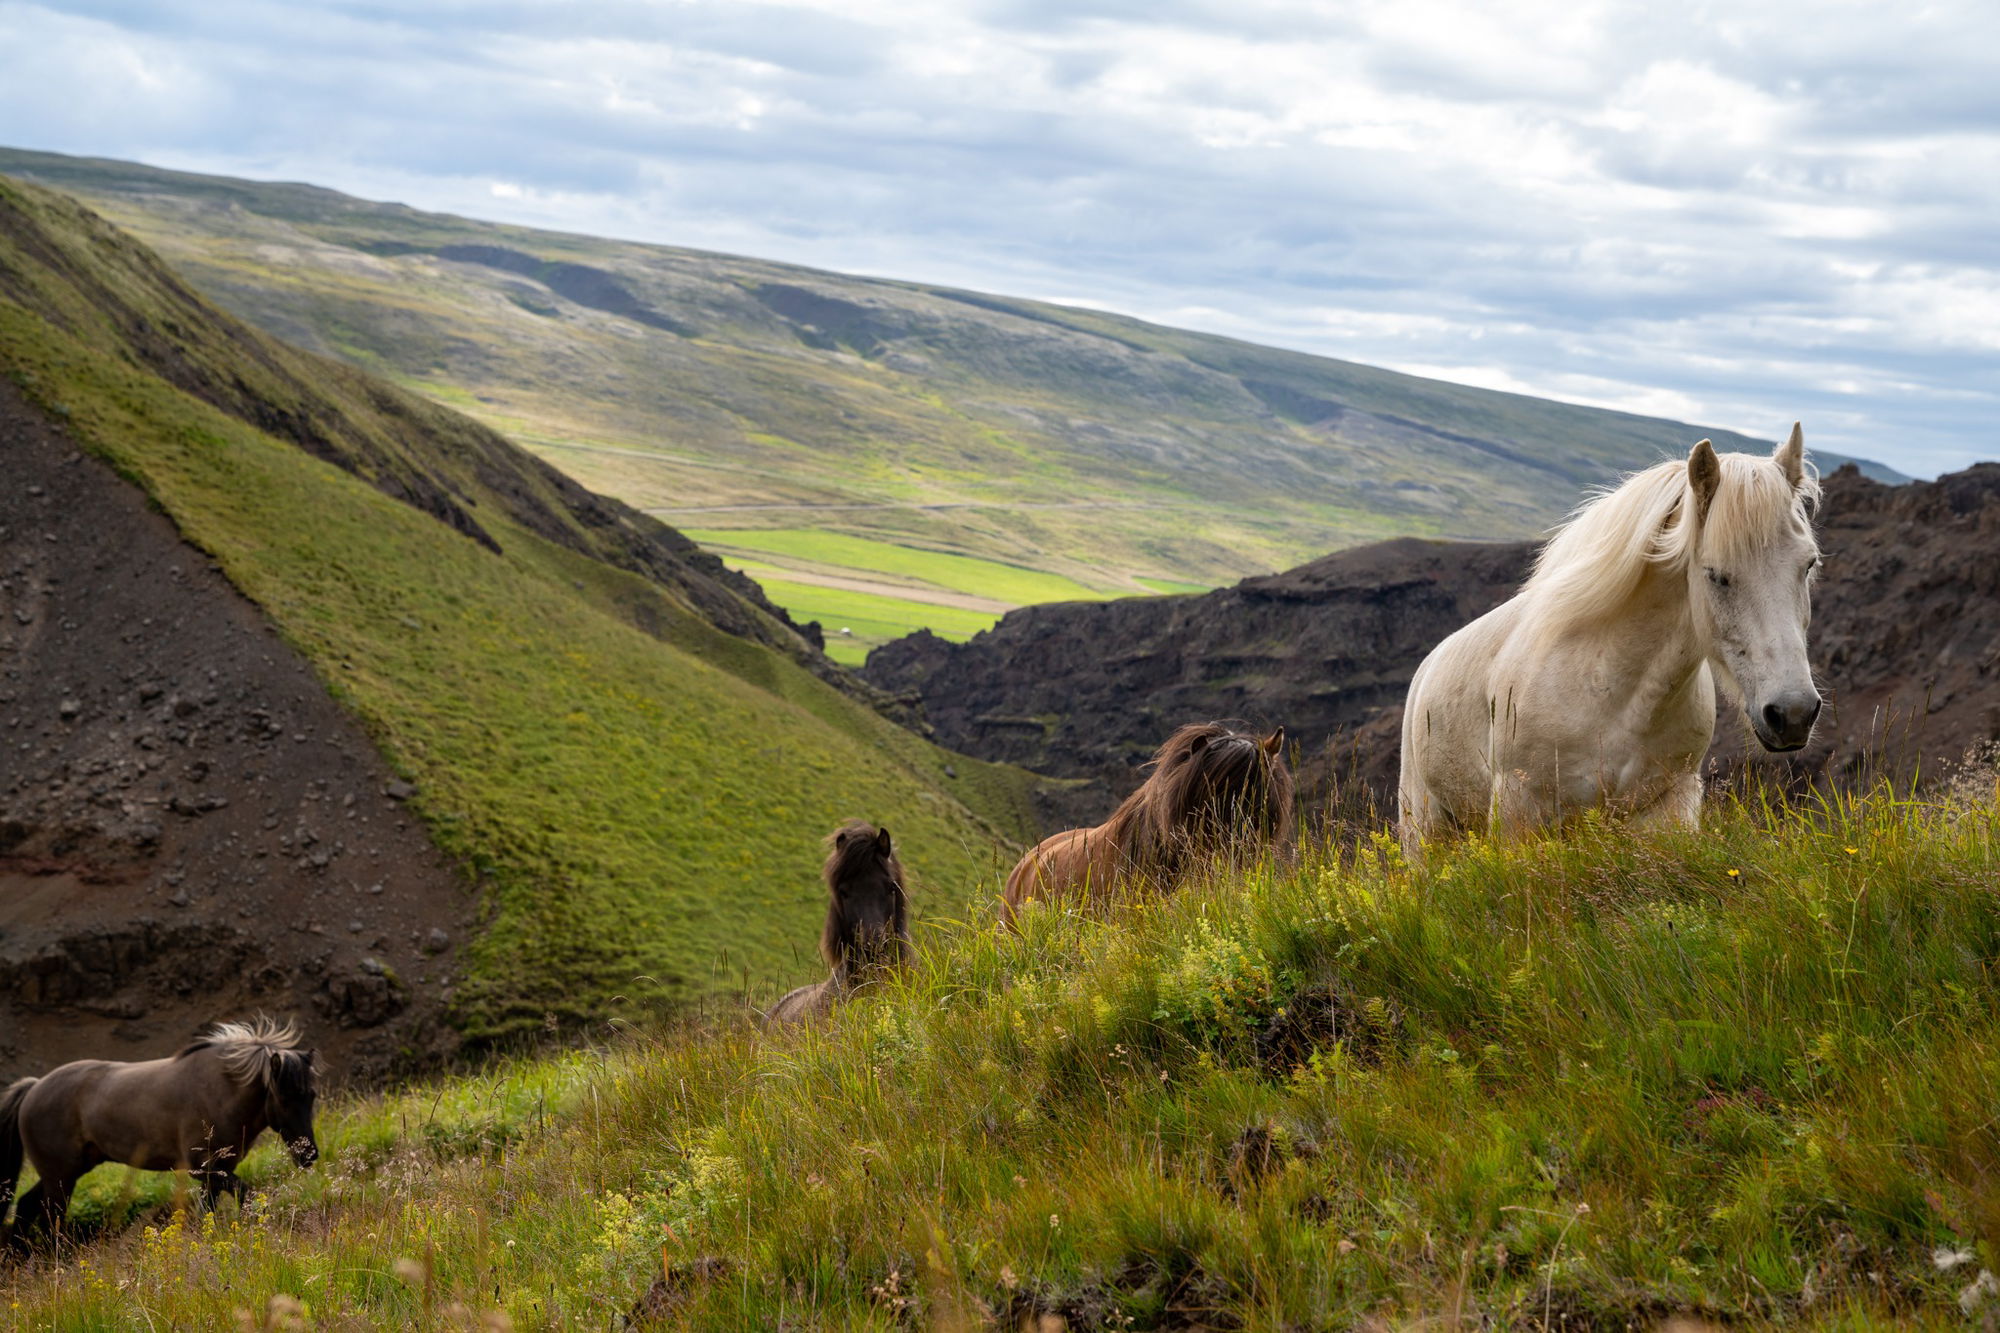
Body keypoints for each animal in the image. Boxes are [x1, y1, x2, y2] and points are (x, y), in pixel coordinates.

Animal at [1, 1016, 319, 1248]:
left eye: (311, 1095)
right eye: (284, 1097)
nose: (309, 1155)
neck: (220, 1090)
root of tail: (34, 1086)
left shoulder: (216, 1173)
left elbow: (213, 1209)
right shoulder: (205, 1169)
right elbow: (246, 1195)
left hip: (63, 1173)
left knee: (26, 1206)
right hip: (60, 1178)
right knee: (50, 1219)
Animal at [1398, 426, 1822, 852]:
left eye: (1808, 564)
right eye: (1717, 575)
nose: (1793, 713)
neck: (1612, 691)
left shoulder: (1670, 804)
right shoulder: (1519, 810)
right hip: (1424, 829)